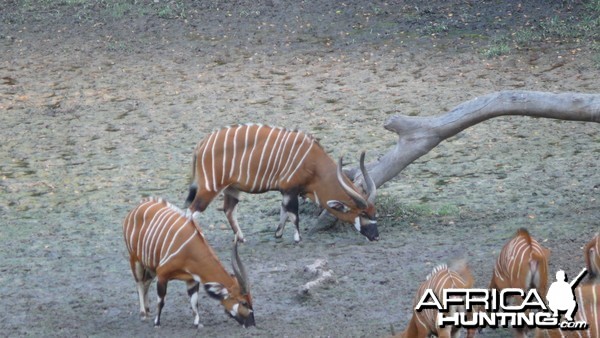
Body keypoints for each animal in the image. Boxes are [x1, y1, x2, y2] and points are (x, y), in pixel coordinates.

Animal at [122, 198, 253, 328]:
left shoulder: (191, 280)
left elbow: (194, 302)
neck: (191, 249)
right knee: (139, 283)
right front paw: (157, 323)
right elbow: (161, 301)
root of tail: (134, 210)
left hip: (150, 266)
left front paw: (197, 323)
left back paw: (148, 310)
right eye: (243, 302)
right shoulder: (162, 275)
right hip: (135, 259)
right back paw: (143, 314)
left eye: (250, 300)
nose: (252, 323)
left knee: (146, 283)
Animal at [185, 124, 378, 243]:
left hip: (232, 189)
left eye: (374, 212)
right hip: (210, 188)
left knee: (228, 210)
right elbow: (293, 213)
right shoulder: (290, 189)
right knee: (192, 210)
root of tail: (201, 144)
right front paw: (298, 238)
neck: (313, 161)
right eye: (363, 214)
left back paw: (241, 238)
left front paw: (278, 234)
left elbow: (284, 211)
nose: (376, 236)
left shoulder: (286, 192)